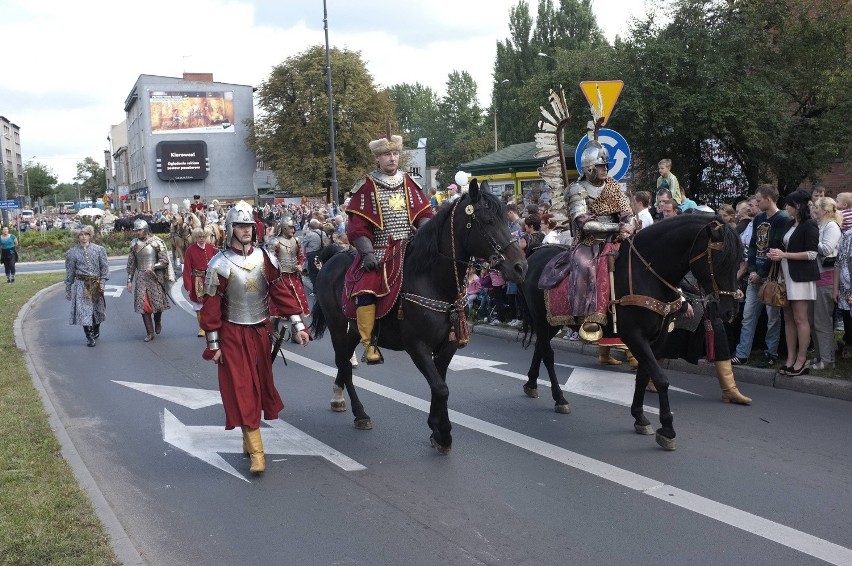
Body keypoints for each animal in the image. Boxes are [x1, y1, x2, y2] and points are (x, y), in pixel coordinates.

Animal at [310, 183, 528, 458]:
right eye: (488, 221)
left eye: (506, 219)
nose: (520, 267)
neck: (433, 281)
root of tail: (331, 259)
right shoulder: (417, 346)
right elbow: (441, 387)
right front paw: (444, 433)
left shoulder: (448, 345)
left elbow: (440, 384)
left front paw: (436, 428)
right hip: (339, 329)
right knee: (345, 365)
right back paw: (360, 413)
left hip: (351, 332)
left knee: (344, 363)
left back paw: (338, 398)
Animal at [520, 216, 740, 452]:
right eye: (719, 260)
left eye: (738, 262)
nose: (730, 312)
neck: (649, 274)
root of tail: (535, 255)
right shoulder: (634, 336)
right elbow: (661, 378)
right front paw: (667, 430)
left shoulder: (657, 339)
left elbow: (644, 375)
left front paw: (640, 417)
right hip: (541, 319)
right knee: (548, 355)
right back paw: (559, 398)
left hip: (552, 322)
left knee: (540, 348)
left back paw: (531, 384)